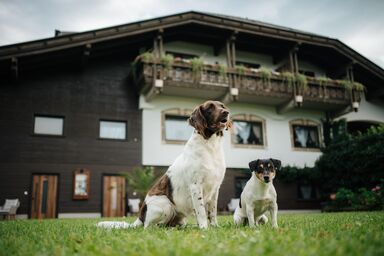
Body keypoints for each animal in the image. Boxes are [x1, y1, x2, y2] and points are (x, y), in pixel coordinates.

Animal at [99, 99, 231, 228]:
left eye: (222, 106)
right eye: (210, 108)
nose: (226, 112)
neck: (210, 146)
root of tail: (139, 217)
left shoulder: (215, 188)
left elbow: (212, 211)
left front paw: (214, 227)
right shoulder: (195, 185)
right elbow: (201, 211)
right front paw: (204, 228)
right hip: (166, 204)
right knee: (149, 226)